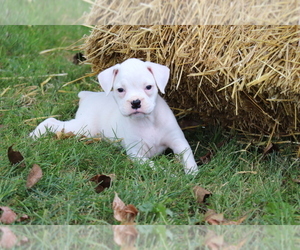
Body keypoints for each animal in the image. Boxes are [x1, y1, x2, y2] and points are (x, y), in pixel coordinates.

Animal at [29, 58, 199, 174]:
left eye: (149, 87)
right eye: (120, 90)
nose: (135, 102)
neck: (147, 122)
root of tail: (87, 95)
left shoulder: (179, 143)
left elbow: (188, 158)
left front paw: (191, 174)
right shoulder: (136, 154)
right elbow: (154, 166)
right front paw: (169, 173)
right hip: (83, 128)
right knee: (51, 121)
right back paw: (35, 135)